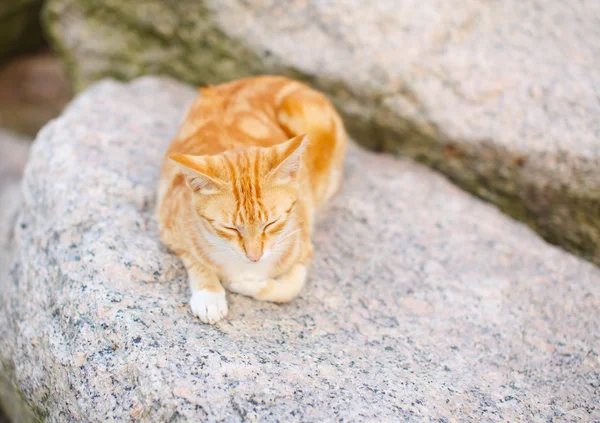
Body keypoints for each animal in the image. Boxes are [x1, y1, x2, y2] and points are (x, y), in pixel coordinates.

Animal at [157, 75, 346, 324]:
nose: (254, 257)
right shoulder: (169, 227)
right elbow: (197, 261)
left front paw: (243, 284)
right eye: (230, 228)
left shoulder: (304, 248)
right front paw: (210, 295)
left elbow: (289, 288)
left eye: (271, 223)